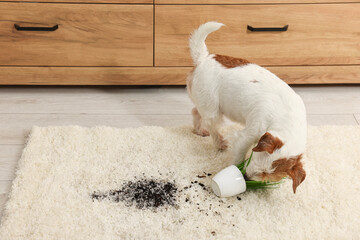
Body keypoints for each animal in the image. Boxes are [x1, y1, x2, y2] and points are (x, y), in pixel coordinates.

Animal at [187, 21, 308, 193]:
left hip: (207, 104)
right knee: (212, 125)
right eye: (262, 169)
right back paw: (220, 143)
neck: (287, 118)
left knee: (196, 112)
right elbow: (239, 152)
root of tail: (203, 59)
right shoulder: (247, 135)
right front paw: (235, 170)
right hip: (213, 109)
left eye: (266, 174)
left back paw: (199, 131)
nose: (247, 177)